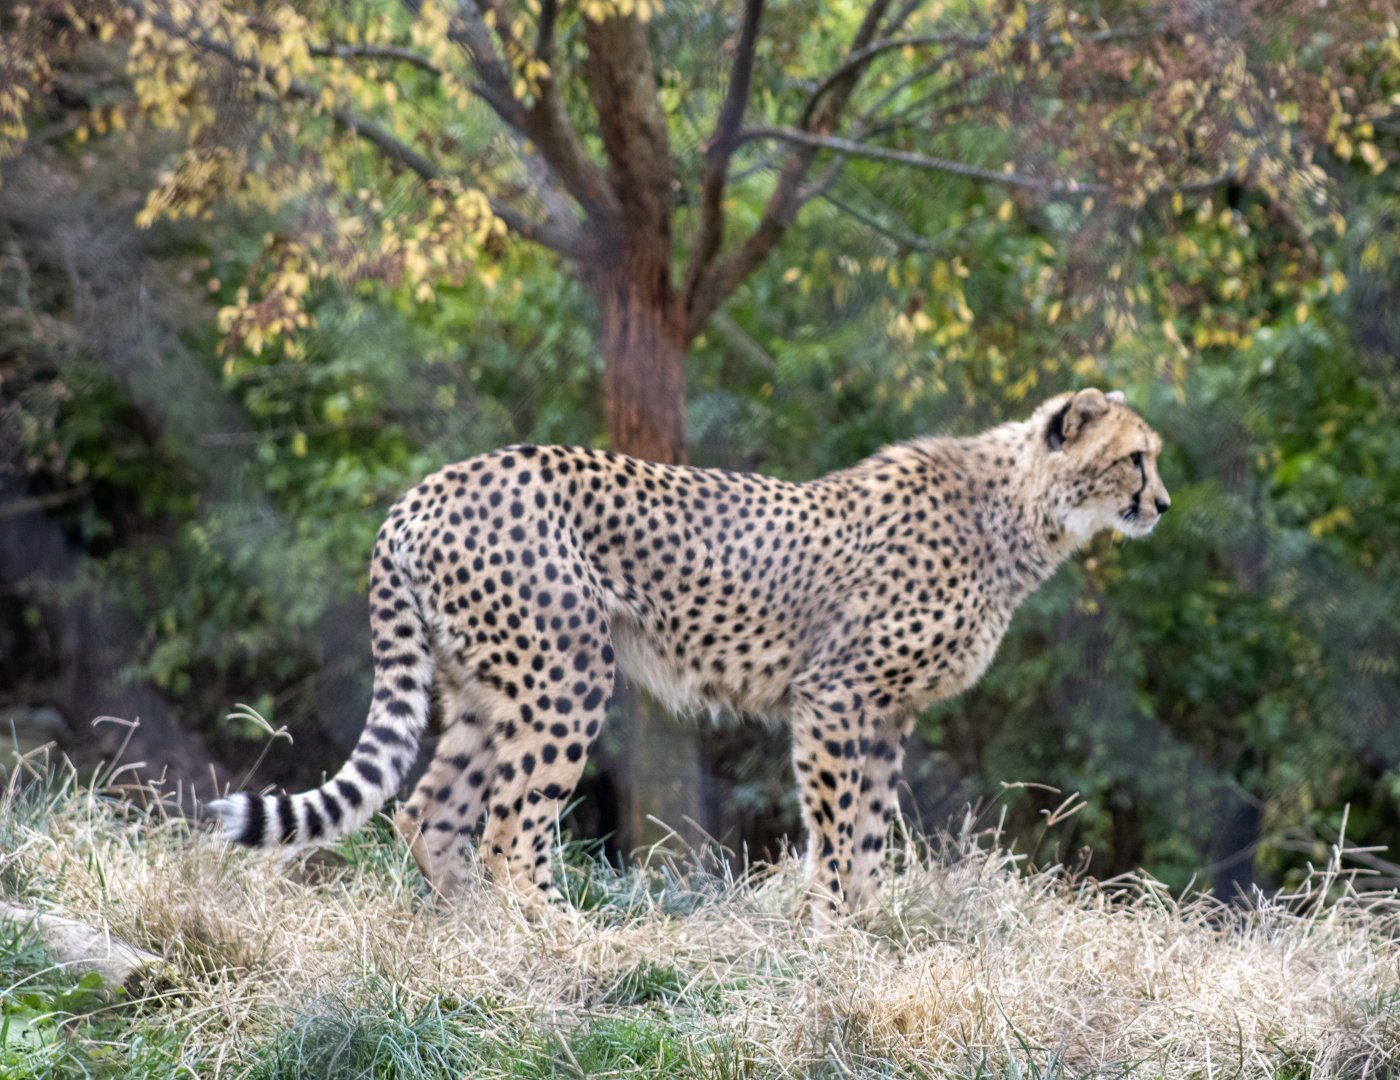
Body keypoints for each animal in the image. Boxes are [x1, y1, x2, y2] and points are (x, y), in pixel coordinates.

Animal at [210, 387, 1170, 920]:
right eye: (1135, 459)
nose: (1161, 505)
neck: (1020, 513)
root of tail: (426, 489)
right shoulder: (836, 695)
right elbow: (837, 824)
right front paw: (831, 928)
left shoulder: (887, 711)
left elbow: (869, 827)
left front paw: (869, 924)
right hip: (568, 673)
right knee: (510, 831)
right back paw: (568, 939)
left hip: (486, 687)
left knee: (430, 813)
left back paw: (478, 937)